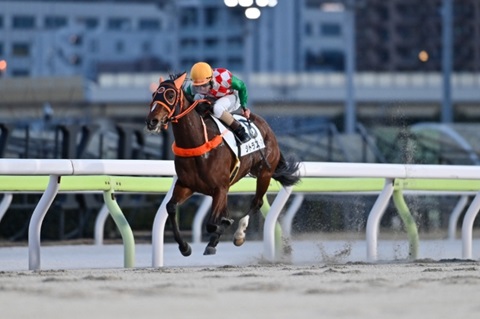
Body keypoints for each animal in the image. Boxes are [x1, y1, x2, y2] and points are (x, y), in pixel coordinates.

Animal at [146, 73, 298, 258]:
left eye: (170, 95)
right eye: (154, 95)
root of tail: (267, 127)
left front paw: (224, 228)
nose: (152, 121)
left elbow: (213, 223)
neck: (198, 142)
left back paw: (239, 234)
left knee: (257, 203)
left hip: (264, 174)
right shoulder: (187, 185)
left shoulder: (220, 188)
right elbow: (171, 208)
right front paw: (185, 247)